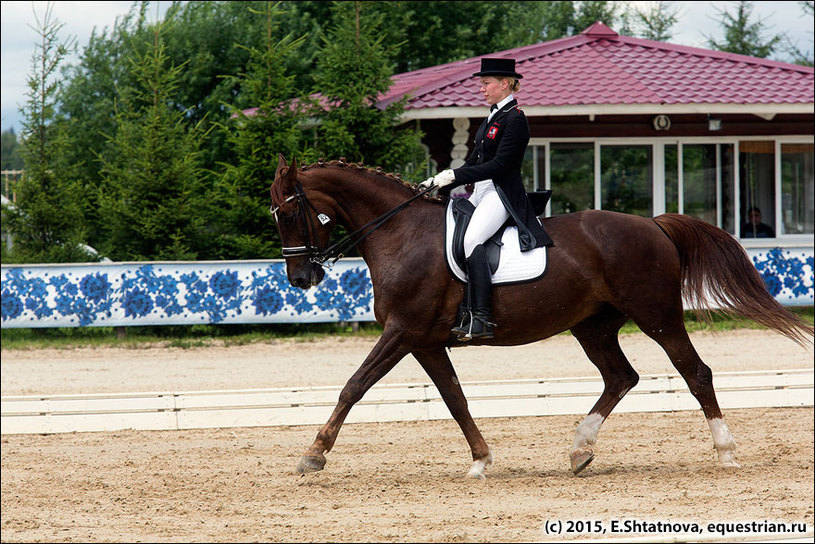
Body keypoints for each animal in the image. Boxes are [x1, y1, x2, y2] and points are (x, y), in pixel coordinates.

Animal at [270, 155, 812, 478]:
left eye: (290, 212)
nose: (300, 278)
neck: (399, 234)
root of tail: (653, 225)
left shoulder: (402, 331)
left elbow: (354, 386)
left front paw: (313, 453)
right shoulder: (425, 341)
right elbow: (454, 400)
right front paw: (480, 460)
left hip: (657, 316)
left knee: (695, 372)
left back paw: (725, 451)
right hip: (592, 325)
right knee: (621, 377)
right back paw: (580, 450)